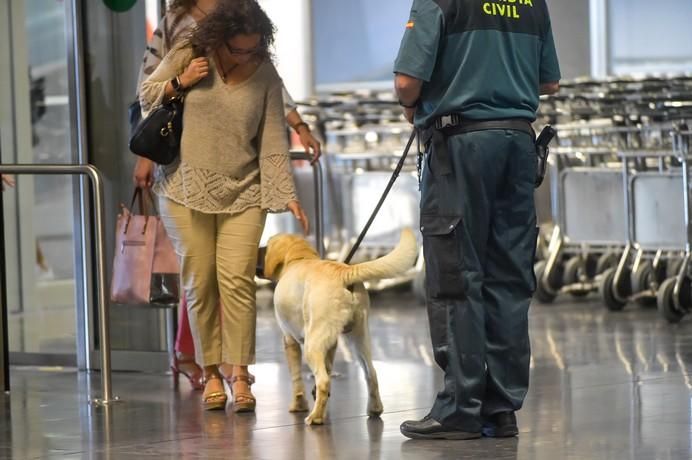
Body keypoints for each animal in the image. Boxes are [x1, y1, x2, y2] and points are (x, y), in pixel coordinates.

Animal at [264, 228, 416, 426]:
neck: (299, 259)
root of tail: (345, 271)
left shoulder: (289, 340)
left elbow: (296, 379)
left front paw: (298, 405)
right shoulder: (332, 343)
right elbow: (328, 368)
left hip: (312, 345)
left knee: (323, 380)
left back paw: (315, 417)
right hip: (359, 338)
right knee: (371, 374)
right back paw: (374, 408)